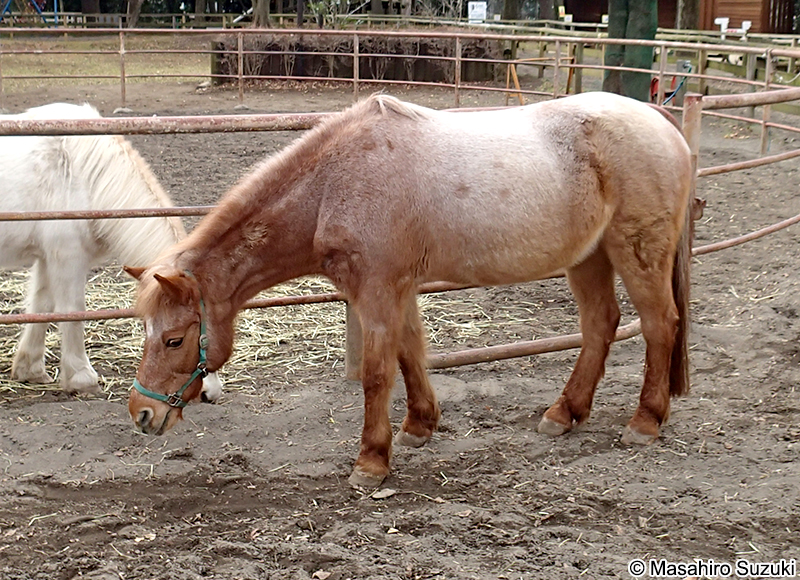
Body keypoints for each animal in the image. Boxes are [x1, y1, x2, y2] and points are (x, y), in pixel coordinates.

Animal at [0, 102, 223, 401]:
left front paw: (30, 369)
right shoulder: (67, 255)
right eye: (181, 337)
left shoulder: (48, 256)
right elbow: (72, 311)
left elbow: (42, 307)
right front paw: (82, 378)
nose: (210, 393)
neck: (81, 175)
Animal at [126, 92, 693, 488]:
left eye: (174, 339)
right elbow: (410, 353)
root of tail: (658, 120)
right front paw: (420, 426)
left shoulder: (376, 290)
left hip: (636, 251)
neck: (334, 183)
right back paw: (564, 414)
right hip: (589, 258)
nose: (141, 415)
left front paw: (371, 462)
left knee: (659, 324)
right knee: (600, 325)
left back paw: (645, 421)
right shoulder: (396, 290)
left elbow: (378, 374)